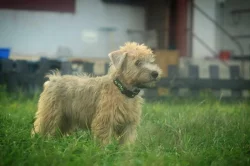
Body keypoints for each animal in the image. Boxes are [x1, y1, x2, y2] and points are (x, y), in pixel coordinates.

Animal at [31, 42, 162, 145]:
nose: (155, 73)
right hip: (50, 115)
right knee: (39, 129)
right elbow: (104, 142)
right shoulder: (104, 122)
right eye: (137, 62)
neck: (122, 90)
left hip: (65, 120)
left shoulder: (128, 125)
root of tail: (52, 79)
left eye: (151, 61)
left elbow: (127, 143)